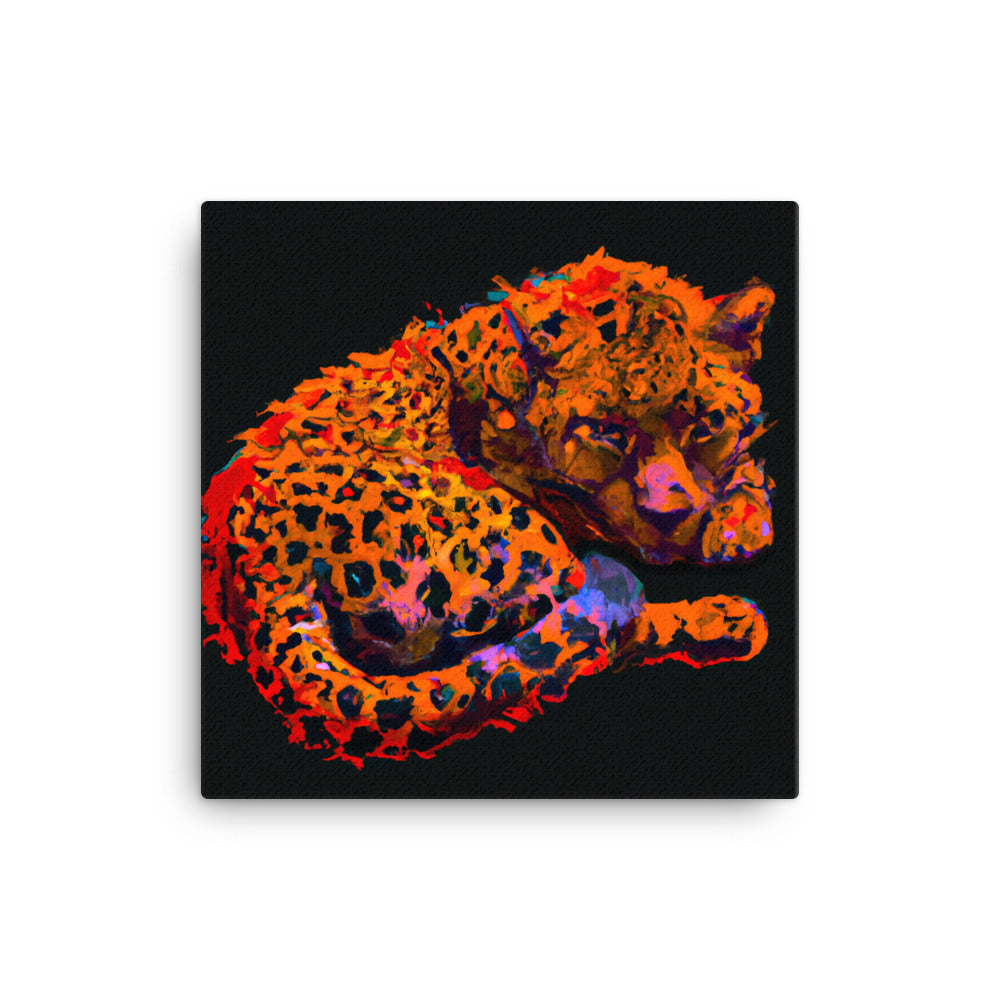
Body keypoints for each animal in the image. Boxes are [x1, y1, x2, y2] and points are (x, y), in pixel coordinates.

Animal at [201, 249, 775, 766]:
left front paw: (738, 515)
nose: (668, 509)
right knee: (578, 631)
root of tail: (255, 567)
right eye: (607, 431)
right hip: (519, 540)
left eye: (706, 424)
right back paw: (724, 617)